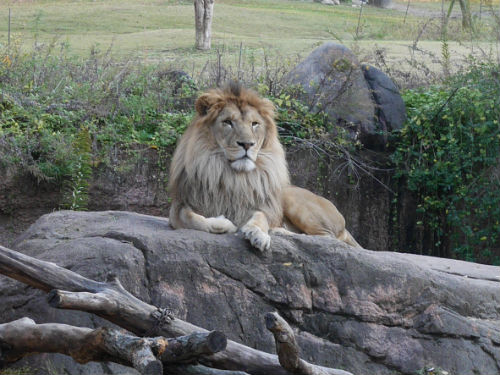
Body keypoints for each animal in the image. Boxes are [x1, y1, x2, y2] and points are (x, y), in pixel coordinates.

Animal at [168, 83, 360, 253]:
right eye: (228, 122)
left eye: (254, 124)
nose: (247, 144)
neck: (232, 176)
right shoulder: (180, 204)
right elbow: (189, 218)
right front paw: (225, 223)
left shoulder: (261, 206)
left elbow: (261, 217)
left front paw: (258, 233)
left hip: (293, 200)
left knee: (327, 238)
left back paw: (280, 231)